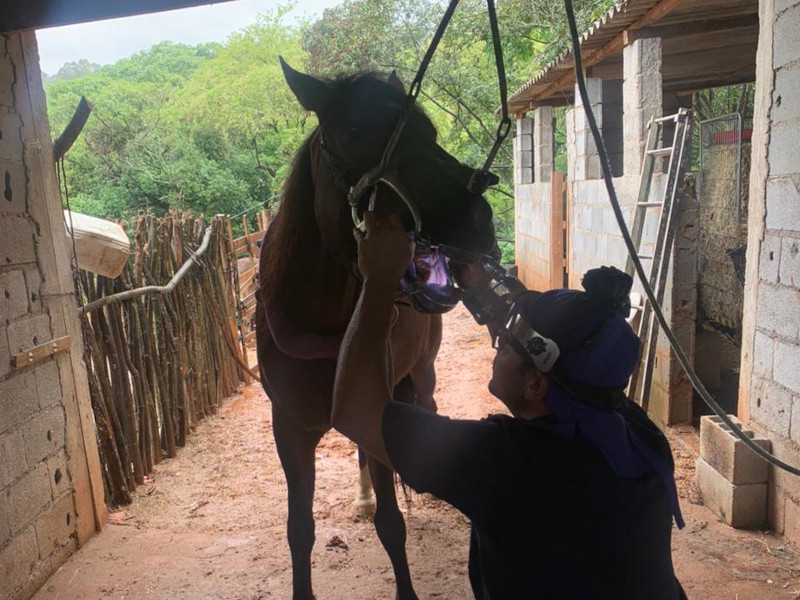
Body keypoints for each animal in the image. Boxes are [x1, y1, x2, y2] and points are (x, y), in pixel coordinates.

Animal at [256, 58, 497, 600]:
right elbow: (299, 530)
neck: (320, 322)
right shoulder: (289, 429)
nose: (478, 220)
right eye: (350, 133)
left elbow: (392, 525)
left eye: (430, 134)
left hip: (422, 373)